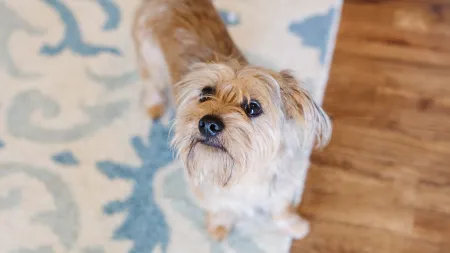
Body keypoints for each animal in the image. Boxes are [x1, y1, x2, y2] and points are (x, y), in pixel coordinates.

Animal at [132, 0, 332, 240]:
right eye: (205, 93)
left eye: (253, 107)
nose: (208, 124)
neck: (244, 170)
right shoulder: (204, 187)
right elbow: (219, 207)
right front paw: (219, 227)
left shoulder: (279, 186)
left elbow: (280, 208)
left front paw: (293, 226)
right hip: (150, 56)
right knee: (151, 81)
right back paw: (154, 105)